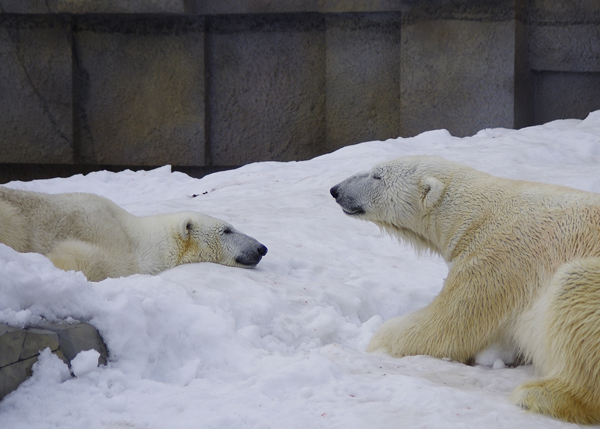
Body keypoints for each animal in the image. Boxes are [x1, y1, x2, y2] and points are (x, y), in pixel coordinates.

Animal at [330, 155, 600, 422]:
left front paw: (378, 340)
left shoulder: (497, 259)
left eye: (377, 175)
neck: (477, 214)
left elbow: (448, 324)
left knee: (572, 287)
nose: (336, 190)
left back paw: (541, 394)